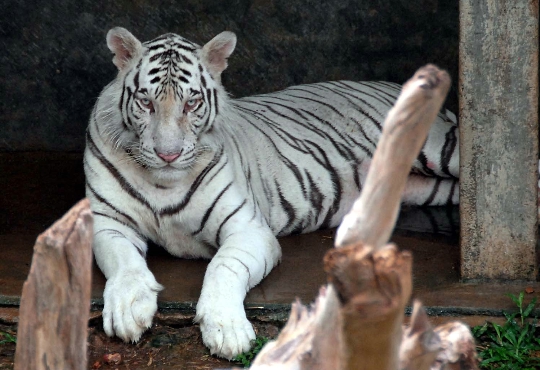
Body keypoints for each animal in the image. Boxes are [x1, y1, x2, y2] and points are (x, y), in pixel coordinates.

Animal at [84, 27, 460, 360]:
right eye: (145, 101)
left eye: (191, 102)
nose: (168, 155)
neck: (163, 182)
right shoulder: (107, 222)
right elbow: (124, 263)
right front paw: (128, 309)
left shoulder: (248, 229)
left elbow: (223, 266)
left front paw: (227, 329)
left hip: (441, 149)